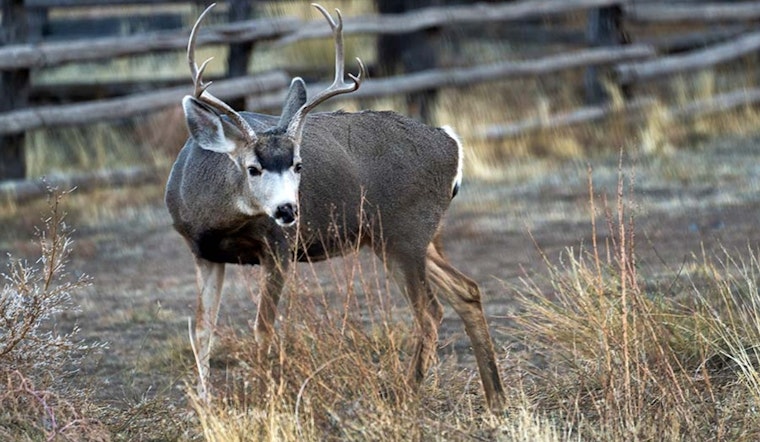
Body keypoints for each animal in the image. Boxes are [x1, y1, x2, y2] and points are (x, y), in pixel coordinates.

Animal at [164, 3, 506, 412]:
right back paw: (496, 398)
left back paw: (405, 395)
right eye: (253, 167)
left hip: (404, 232)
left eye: (299, 165)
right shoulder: (204, 253)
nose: (288, 210)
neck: (215, 216)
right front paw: (203, 405)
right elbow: (203, 330)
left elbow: (263, 328)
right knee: (467, 290)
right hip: (408, 236)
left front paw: (266, 400)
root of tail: (451, 142)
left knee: (430, 311)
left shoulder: (278, 248)